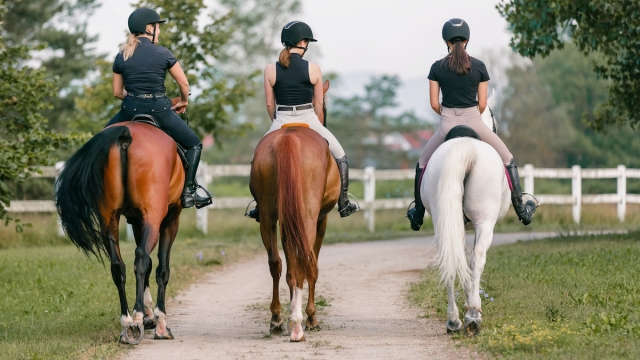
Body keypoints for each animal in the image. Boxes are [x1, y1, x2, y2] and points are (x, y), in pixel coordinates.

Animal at [54, 121, 185, 344]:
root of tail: (126, 133)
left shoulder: (137, 222)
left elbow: (150, 266)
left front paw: (149, 318)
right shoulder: (169, 220)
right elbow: (161, 270)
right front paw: (159, 323)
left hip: (109, 219)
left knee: (118, 266)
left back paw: (127, 322)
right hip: (153, 216)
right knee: (141, 259)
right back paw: (138, 316)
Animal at [250, 80, 340, 342]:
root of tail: (289, 137)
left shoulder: (285, 221)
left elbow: (289, 263)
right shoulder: (321, 220)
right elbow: (312, 265)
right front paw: (311, 317)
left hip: (268, 217)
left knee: (277, 263)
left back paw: (277, 320)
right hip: (308, 217)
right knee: (305, 261)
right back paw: (300, 324)